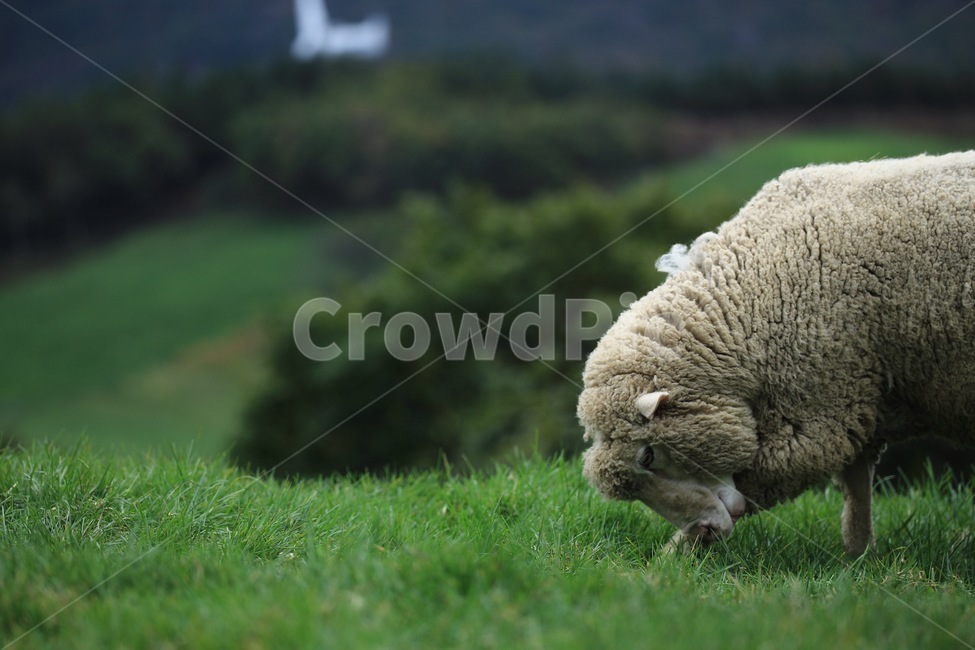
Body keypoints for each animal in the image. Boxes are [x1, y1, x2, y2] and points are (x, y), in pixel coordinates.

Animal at [577, 151, 975, 557]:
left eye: (648, 456)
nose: (705, 529)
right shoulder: (861, 397)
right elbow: (856, 483)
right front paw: (859, 554)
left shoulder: (822, 406)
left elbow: (763, 476)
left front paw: (673, 554)